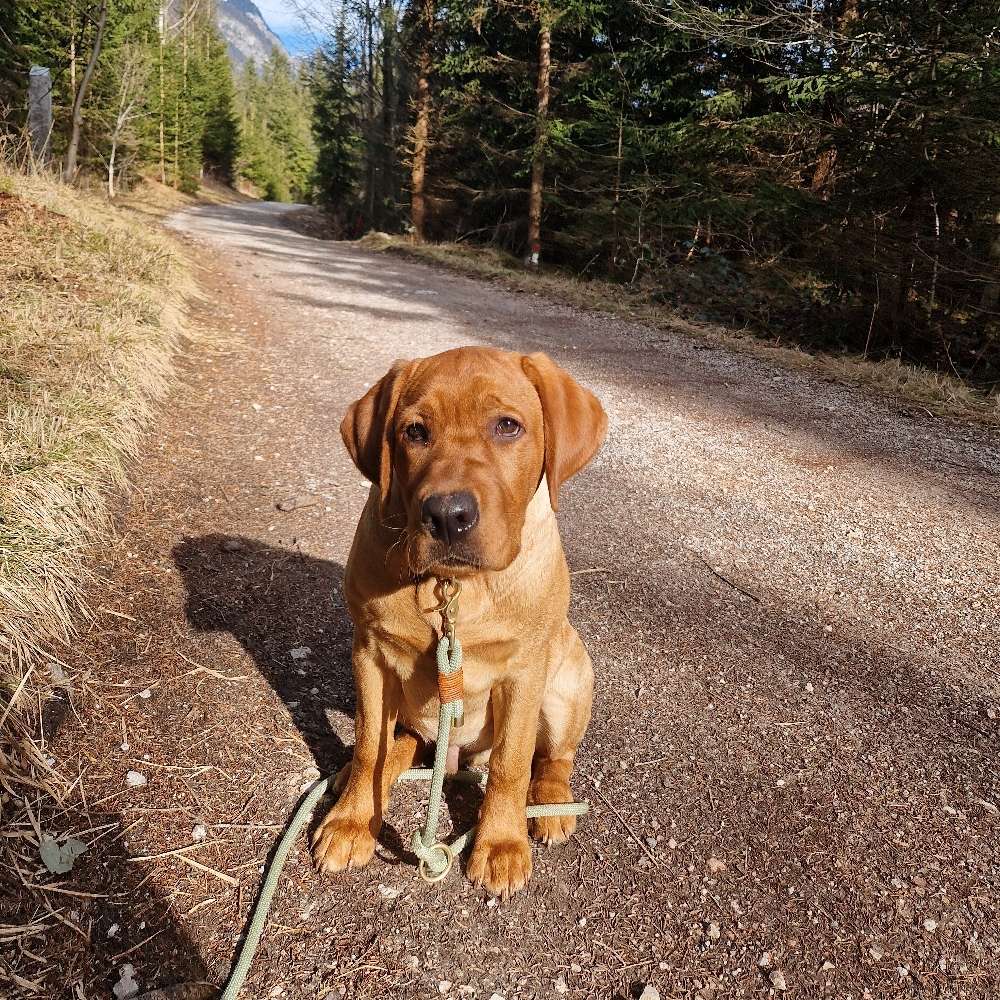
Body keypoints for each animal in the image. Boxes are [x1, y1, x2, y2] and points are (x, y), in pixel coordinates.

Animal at [312, 346, 608, 900]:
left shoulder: (523, 671)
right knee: (399, 743)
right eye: (414, 432)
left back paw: (551, 804)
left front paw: (502, 844)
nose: (448, 516)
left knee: (553, 758)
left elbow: (512, 763)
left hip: (569, 676)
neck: (452, 587)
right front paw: (352, 822)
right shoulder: (369, 654)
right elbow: (368, 747)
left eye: (508, 426)